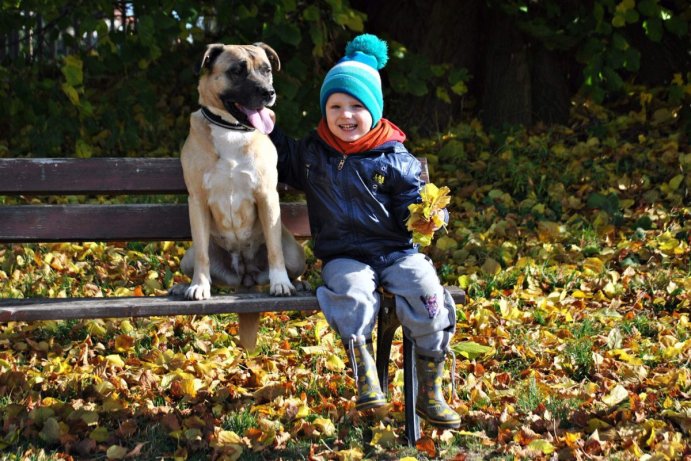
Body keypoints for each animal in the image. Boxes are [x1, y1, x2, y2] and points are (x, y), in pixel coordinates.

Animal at [171, 43, 306, 350]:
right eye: (237, 71)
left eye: (266, 70)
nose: (268, 93)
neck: (231, 130)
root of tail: (245, 276)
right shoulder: (196, 201)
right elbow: (203, 258)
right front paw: (199, 285)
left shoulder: (267, 197)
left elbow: (274, 250)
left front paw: (280, 283)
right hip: (188, 256)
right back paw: (184, 286)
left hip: (296, 254)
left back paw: (297, 284)